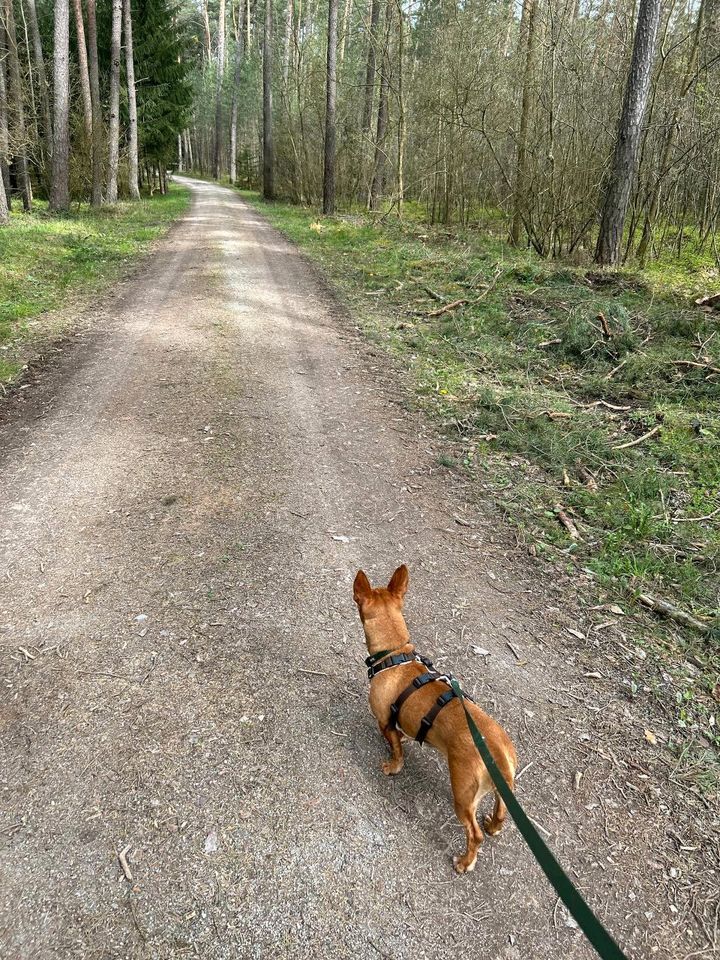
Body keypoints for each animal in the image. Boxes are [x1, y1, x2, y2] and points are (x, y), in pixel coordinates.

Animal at [354, 568, 516, 872]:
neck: (396, 655)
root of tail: (498, 752)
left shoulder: (384, 721)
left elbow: (396, 749)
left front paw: (392, 766)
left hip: (462, 797)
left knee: (474, 834)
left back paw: (465, 862)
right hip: (501, 791)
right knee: (501, 813)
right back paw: (493, 825)